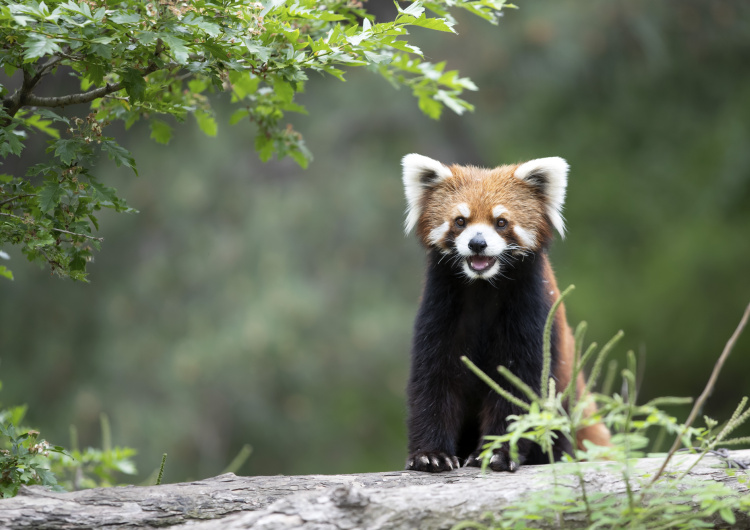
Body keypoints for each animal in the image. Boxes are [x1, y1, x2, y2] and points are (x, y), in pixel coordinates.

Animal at [402, 153, 608, 470]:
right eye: (460, 221)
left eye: (500, 222)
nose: (477, 243)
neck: (483, 287)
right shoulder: (439, 309)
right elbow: (434, 379)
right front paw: (431, 455)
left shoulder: (532, 310)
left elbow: (517, 384)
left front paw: (497, 452)